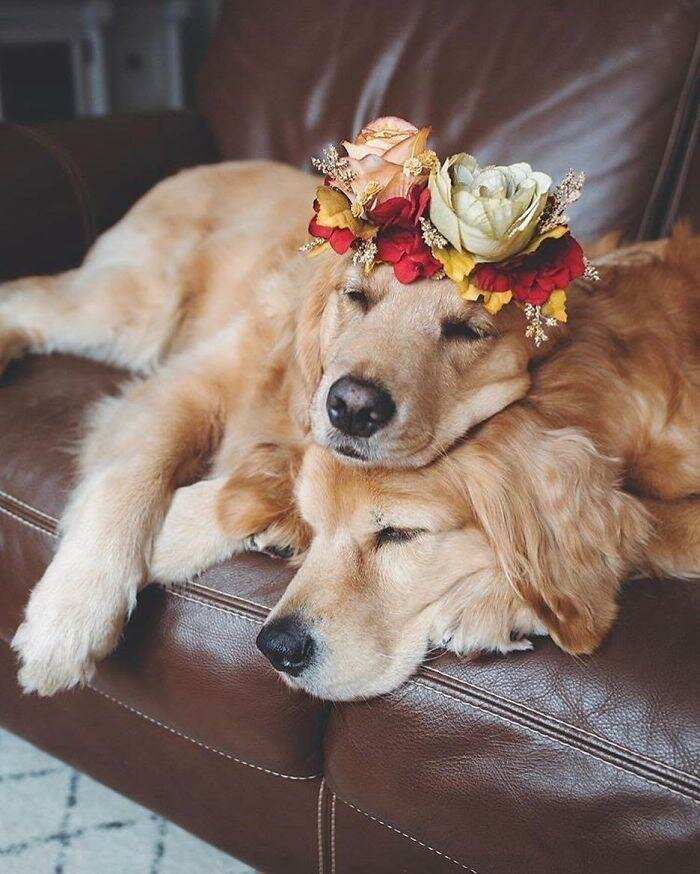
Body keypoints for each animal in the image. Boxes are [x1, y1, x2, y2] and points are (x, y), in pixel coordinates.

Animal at [5, 119, 700, 700]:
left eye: (468, 331)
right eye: (356, 297)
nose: (350, 407)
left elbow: (650, 533)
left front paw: (494, 601)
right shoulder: (192, 384)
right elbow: (132, 477)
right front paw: (69, 615)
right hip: (134, 310)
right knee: (26, 296)